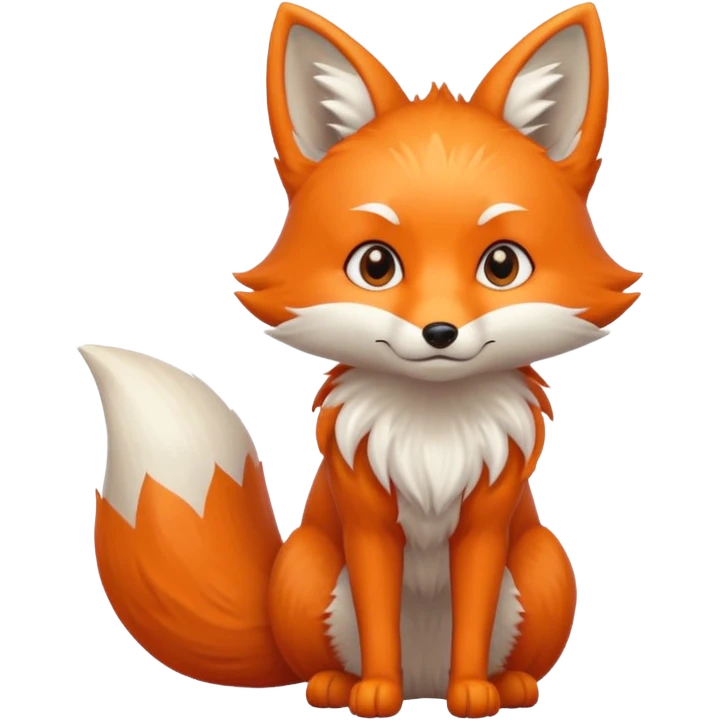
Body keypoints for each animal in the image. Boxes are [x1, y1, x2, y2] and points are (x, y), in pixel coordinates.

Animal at [80, 2, 641, 718]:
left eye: (502, 265)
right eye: (376, 265)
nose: (439, 331)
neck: (434, 434)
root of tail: (424, 679)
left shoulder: (485, 524)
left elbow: (473, 615)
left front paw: (472, 694)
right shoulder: (367, 520)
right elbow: (378, 619)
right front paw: (376, 691)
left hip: (543, 570)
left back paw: (508, 685)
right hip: (313, 573)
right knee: (324, 658)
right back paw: (336, 685)